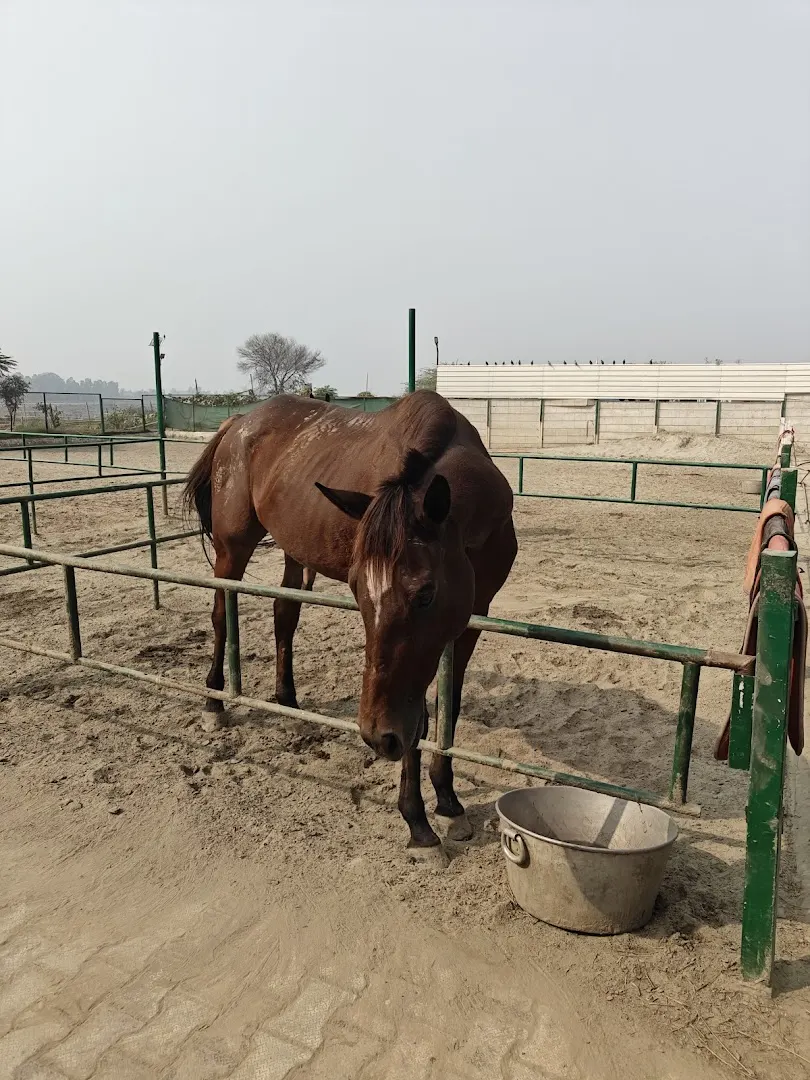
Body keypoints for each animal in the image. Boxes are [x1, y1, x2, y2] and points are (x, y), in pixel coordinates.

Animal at [184, 390, 517, 861]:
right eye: (358, 589)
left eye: (425, 593)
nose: (378, 737)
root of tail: (239, 422)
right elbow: (419, 720)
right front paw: (417, 822)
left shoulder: (472, 617)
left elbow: (446, 709)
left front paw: (449, 801)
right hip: (233, 547)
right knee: (220, 617)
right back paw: (214, 702)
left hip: (293, 550)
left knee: (284, 614)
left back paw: (287, 701)